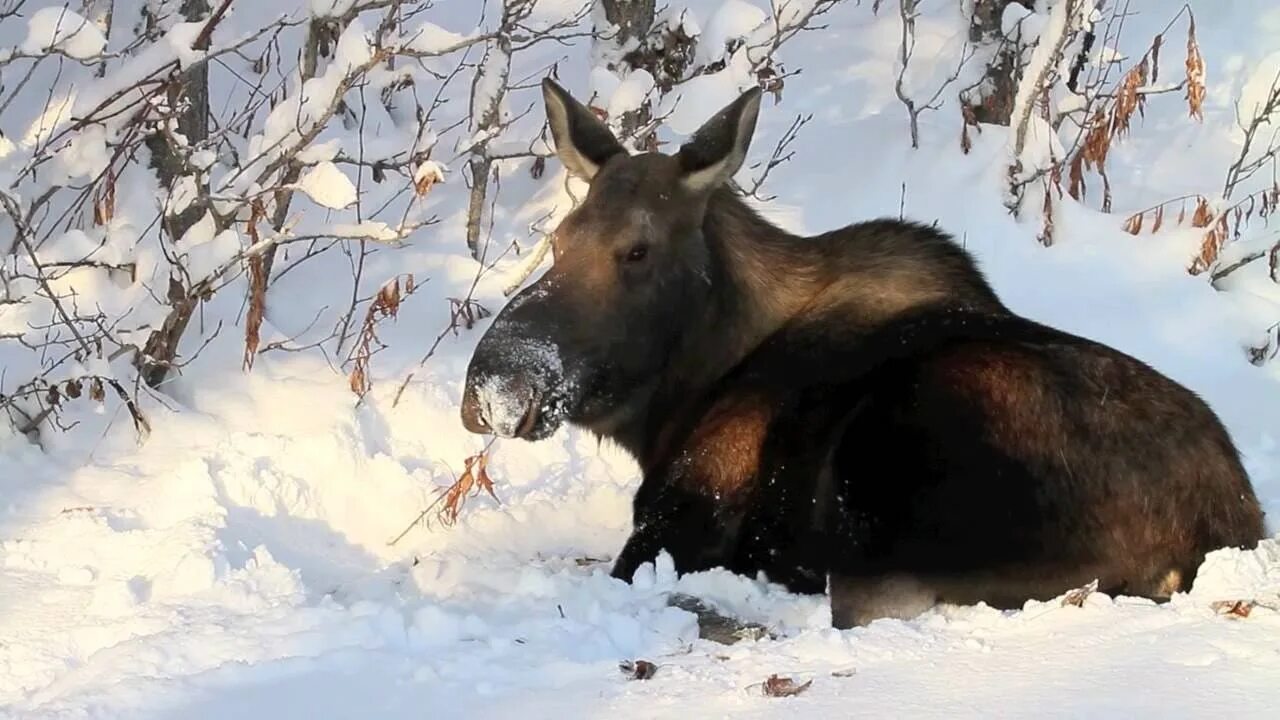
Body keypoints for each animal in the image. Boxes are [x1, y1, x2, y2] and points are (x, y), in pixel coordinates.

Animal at [458, 78, 1259, 625]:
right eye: (561, 240)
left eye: (637, 249)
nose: (493, 388)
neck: (685, 392)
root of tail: (1219, 532)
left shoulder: (670, 527)